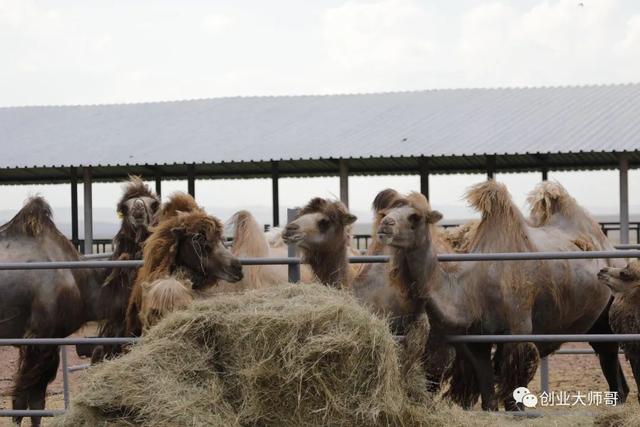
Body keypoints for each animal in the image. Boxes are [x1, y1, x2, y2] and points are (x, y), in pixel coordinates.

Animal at [378, 181, 628, 412]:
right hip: (596, 324)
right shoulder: (475, 341)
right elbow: (488, 396)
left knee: (610, 355)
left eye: (415, 217)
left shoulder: (518, 330)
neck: (474, 289)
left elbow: (512, 398)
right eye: (387, 212)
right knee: (609, 360)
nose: (384, 225)